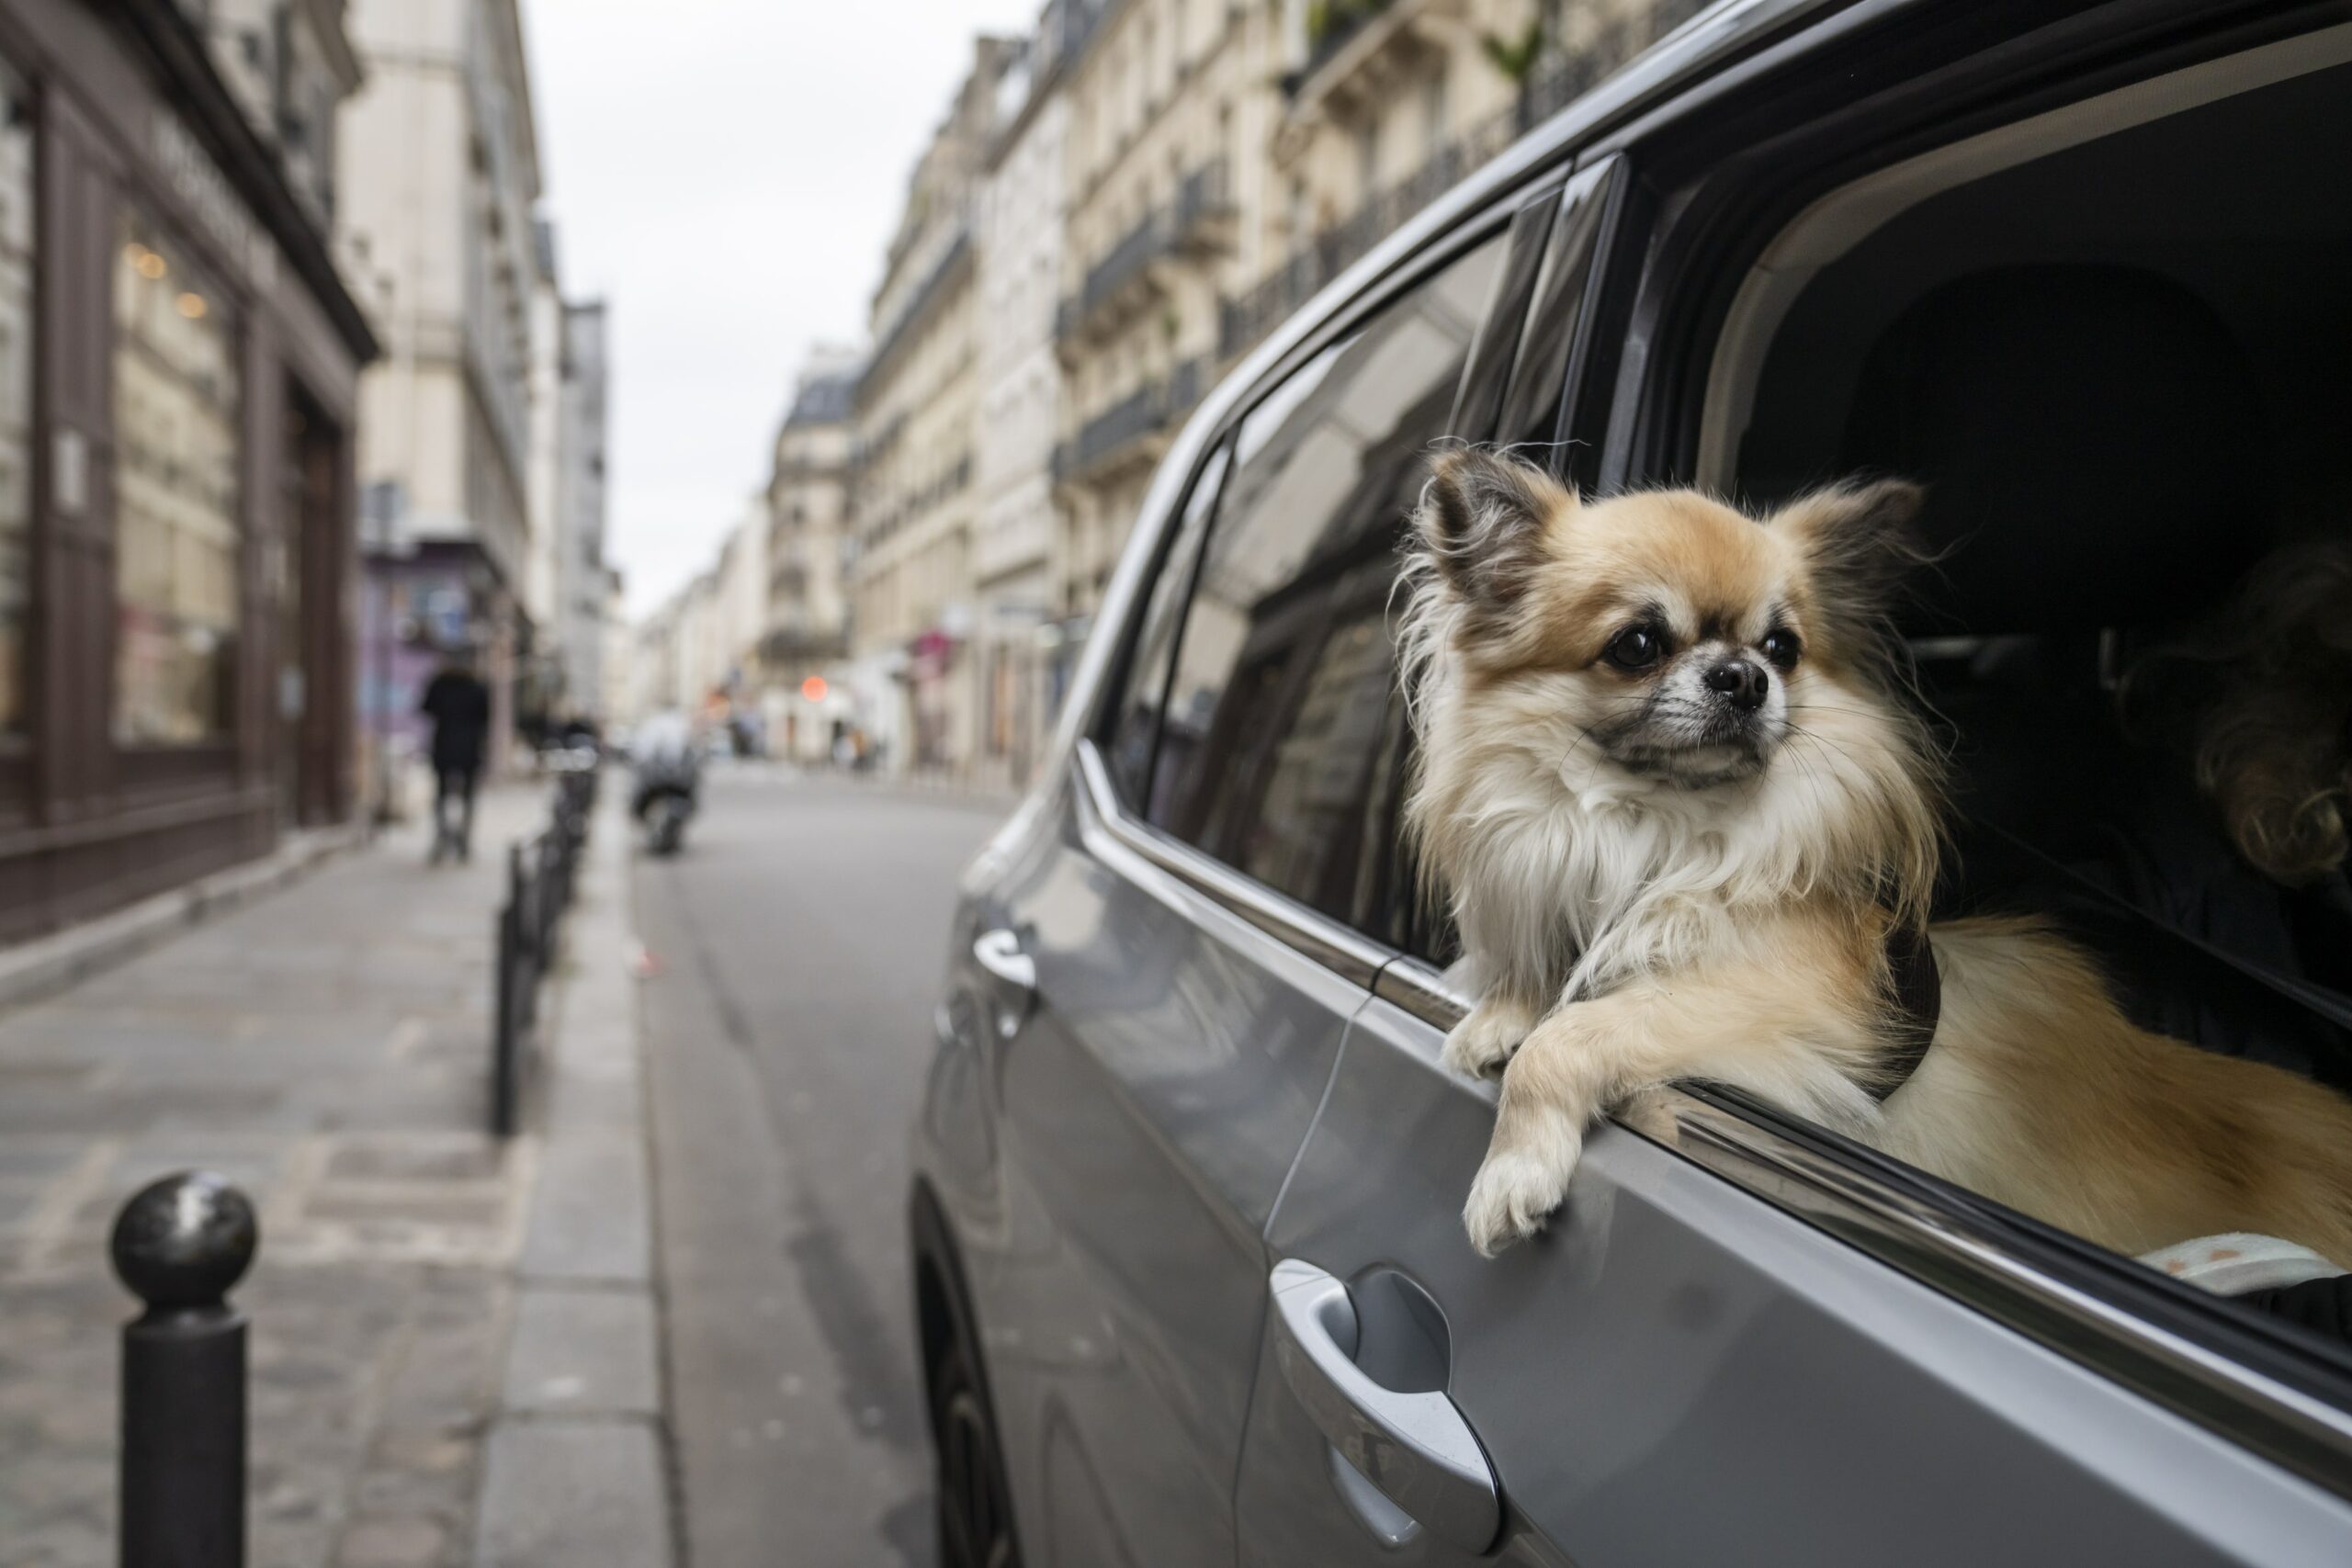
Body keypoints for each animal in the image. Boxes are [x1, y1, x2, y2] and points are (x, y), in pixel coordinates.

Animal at [1392, 446, 2352, 1259]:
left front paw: (1513, 1167)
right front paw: (1501, 1011)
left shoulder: (1784, 1000)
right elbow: (1552, 982)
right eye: (1637, 644)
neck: (1656, 825)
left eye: (1782, 646)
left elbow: (1579, 1032)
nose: (1744, 676)